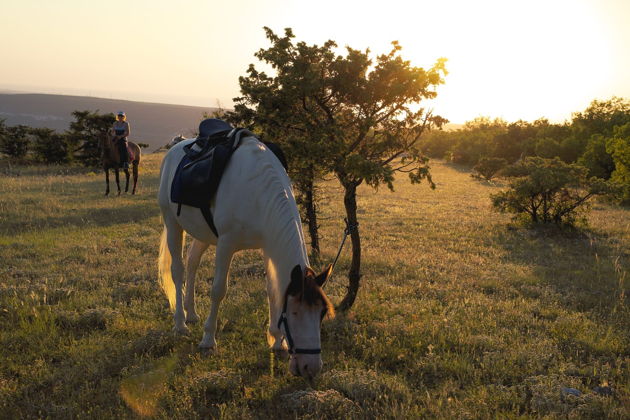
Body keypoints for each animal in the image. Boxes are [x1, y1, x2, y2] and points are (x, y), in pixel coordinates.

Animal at [158, 135, 336, 380]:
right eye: (295, 312)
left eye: (321, 313)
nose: (312, 367)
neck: (257, 192)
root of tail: (176, 146)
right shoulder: (226, 243)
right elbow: (218, 291)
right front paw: (208, 340)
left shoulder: (268, 245)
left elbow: (273, 290)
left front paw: (277, 341)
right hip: (173, 223)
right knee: (178, 270)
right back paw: (181, 322)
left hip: (203, 233)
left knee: (193, 262)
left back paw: (191, 313)